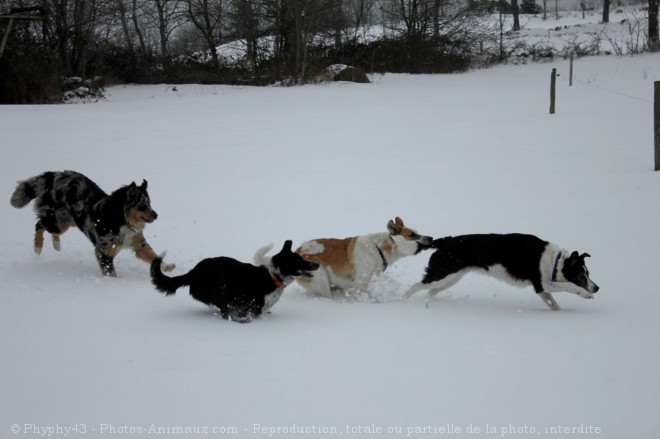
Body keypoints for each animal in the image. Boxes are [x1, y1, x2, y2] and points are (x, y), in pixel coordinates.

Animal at [284, 217, 434, 300]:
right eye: (412, 235)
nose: (431, 238)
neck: (379, 248)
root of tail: (298, 250)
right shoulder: (360, 283)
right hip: (320, 275)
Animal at [404, 235, 600, 312]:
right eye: (581, 275)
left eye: (588, 273)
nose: (597, 288)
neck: (555, 261)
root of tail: (446, 241)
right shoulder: (541, 283)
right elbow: (569, 285)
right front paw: (585, 294)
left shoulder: (542, 289)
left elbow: (553, 303)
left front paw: (560, 313)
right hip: (441, 275)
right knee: (415, 286)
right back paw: (403, 300)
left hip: (451, 278)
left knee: (430, 291)